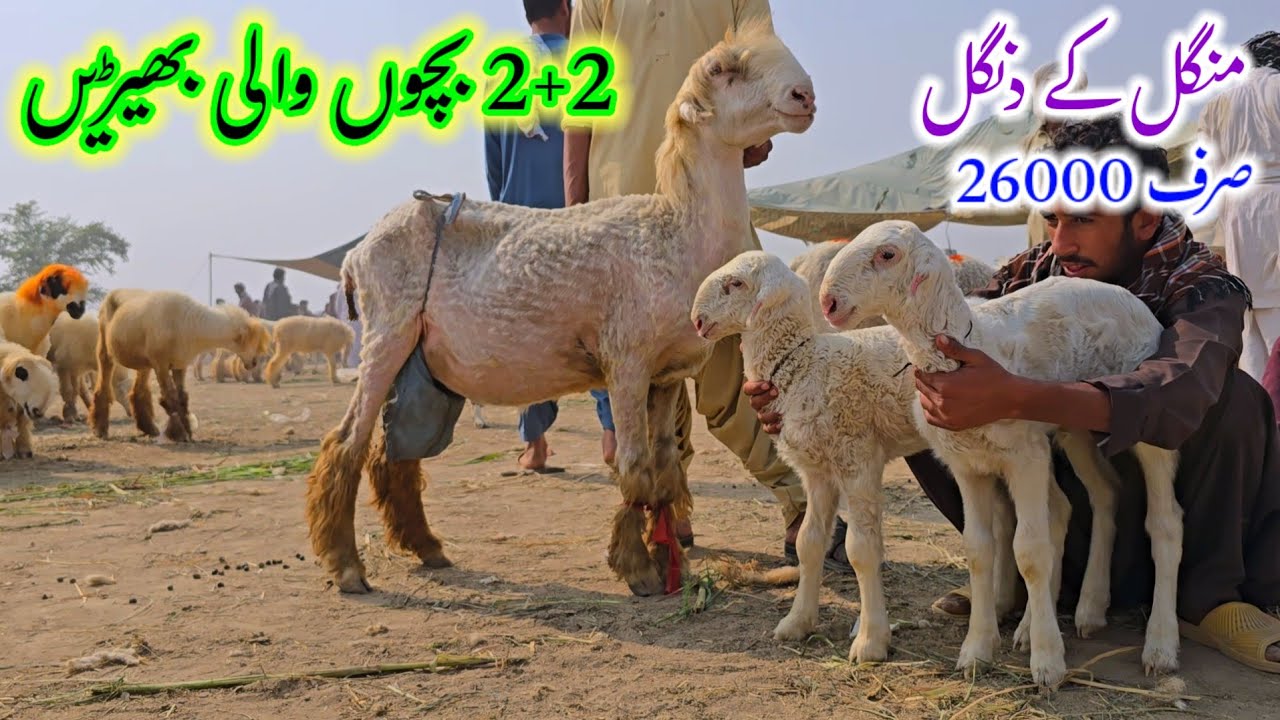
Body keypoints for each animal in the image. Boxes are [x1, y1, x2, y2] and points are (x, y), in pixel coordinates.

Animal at [90, 289, 272, 443]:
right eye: (250, 342)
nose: (253, 363)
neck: (190, 323)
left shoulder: (179, 365)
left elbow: (182, 397)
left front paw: (187, 431)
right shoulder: (161, 365)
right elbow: (170, 398)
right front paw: (179, 433)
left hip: (144, 362)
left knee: (137, 392)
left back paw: (149, 428)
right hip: (105, 348)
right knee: (102, 384)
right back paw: (100, 430)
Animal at [308, 22, 815, 595]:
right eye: (723, 70)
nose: (805, 97)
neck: (677, 232)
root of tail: (357, 252)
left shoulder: (667, 374)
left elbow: (665, 469)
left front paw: (666, 562)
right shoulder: (626, 361)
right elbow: (635, 465)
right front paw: (638, 569)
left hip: (416, 360)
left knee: (392, 455)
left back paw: (427, 549)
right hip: (384, 334)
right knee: (346, 444)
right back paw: (348, 567)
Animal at [690, 250, 934, 662]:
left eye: (736, 284)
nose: (697, 321)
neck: (804, 363)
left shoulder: (857, 458)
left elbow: (861, 550)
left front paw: (871, 640)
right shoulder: (817, 471)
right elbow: (808, 542)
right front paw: (797, 621)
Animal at [820, 220, 1183, 685]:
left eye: (887, 255)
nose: (828, 302)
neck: (968, 345)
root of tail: (1134, 300)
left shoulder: (1024, 456)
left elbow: (1029, 550)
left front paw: (1047, 662)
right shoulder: (967, 465)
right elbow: (979, 549)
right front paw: (976, 651)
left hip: (1147, 422)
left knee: (1165, 523)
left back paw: (1160, 645)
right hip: (1075, 427)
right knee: (1104, 492)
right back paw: (1087, 608)